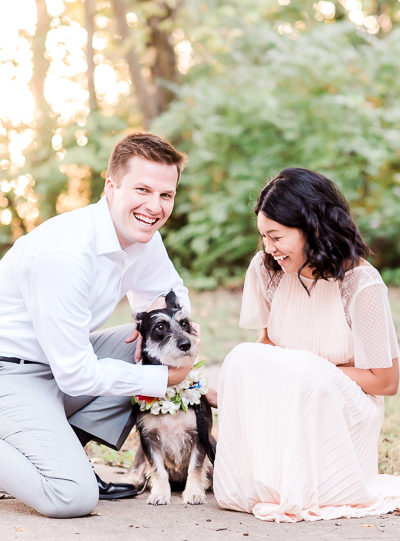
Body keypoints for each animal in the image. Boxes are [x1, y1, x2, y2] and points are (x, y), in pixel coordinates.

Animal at [130, 288, 214, 504]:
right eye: (160, 326)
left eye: (184, 323)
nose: (186, 344)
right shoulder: (148, 439)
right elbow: (158, 470)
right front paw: (160, 493)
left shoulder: (200, 435)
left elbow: (196, 467)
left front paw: (194, 492)